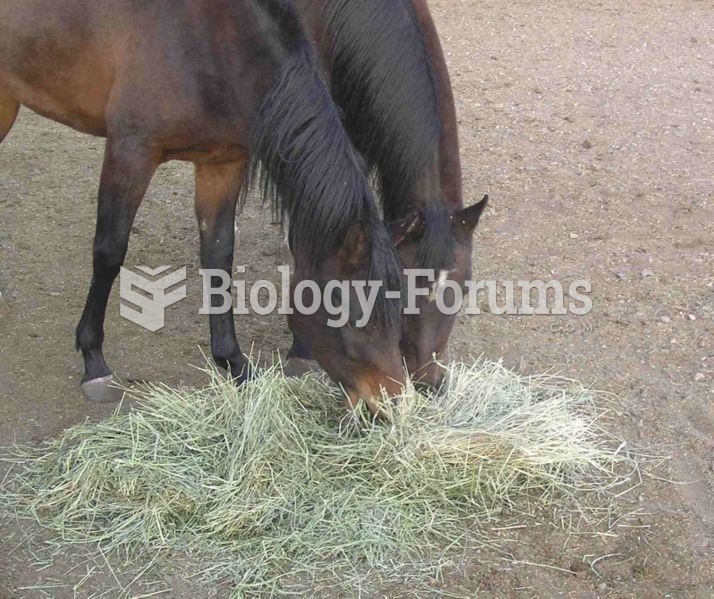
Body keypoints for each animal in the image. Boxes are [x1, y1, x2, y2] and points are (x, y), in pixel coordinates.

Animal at [0, 0, 404, 412]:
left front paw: (234, 361)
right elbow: (110, 253)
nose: (391, 401)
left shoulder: (222, 165)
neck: (210, 41)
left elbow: (218, 255)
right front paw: (94, 361)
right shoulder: (130, 153)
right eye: (352, 314)